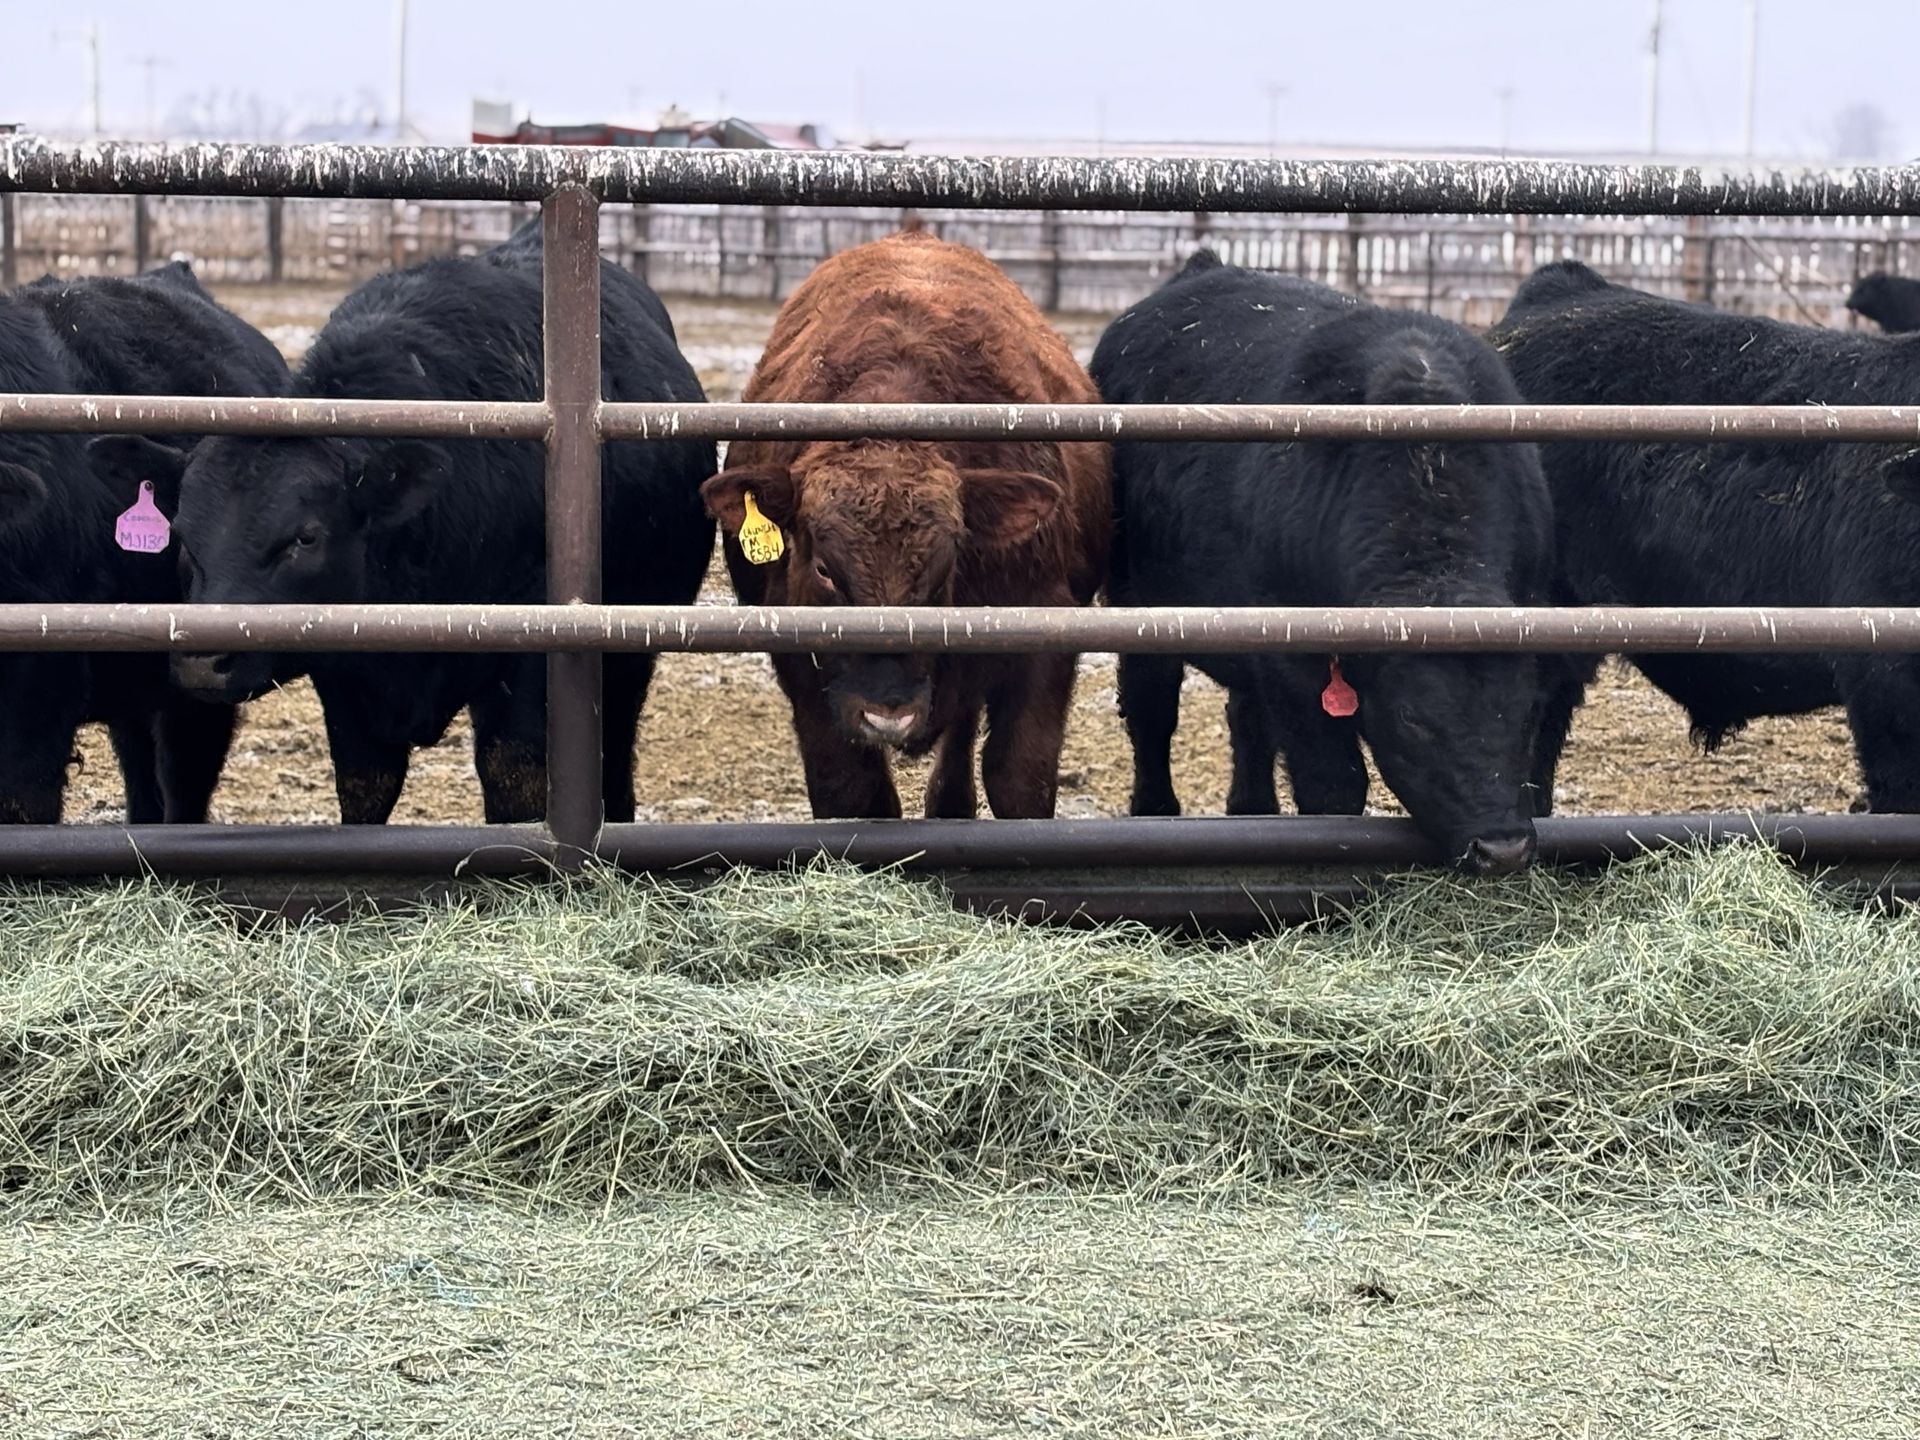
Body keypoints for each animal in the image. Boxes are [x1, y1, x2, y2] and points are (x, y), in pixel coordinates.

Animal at [95, 220, 716, 825]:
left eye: (305, 537)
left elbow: (512, 777)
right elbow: (365, 783)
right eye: (182, 538)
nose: (201, 660)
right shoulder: (346, 676)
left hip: (630, 657)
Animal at [702, 230, 1111, 820]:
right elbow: (850, 789)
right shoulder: (805, 672)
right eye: (824, 570)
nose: (887, 713)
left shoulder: (1045, 640)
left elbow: (1019, 779)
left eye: (945, 567)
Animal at [1089, 251, 1556, 874]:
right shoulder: (1296, 662)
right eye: (1413, 719)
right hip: (1136, 602)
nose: (1502, 848)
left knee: (1246, 722)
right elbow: (1334, 784)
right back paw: (1155, 813)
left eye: (1525, 710)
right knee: (1151, 712)